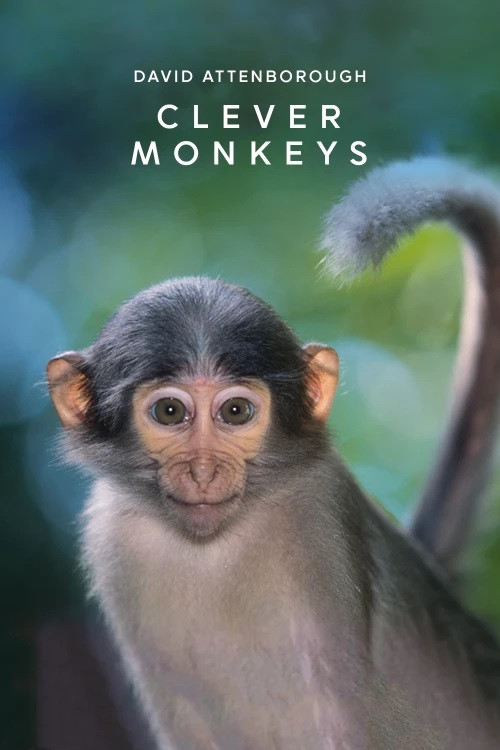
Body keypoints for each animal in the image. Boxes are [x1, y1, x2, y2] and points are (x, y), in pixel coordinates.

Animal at [46, 157, 500, 749]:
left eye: (236, 412)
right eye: (169, 412)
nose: (203, 471)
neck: (214, 551)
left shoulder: (321, 524)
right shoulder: (113, 541)